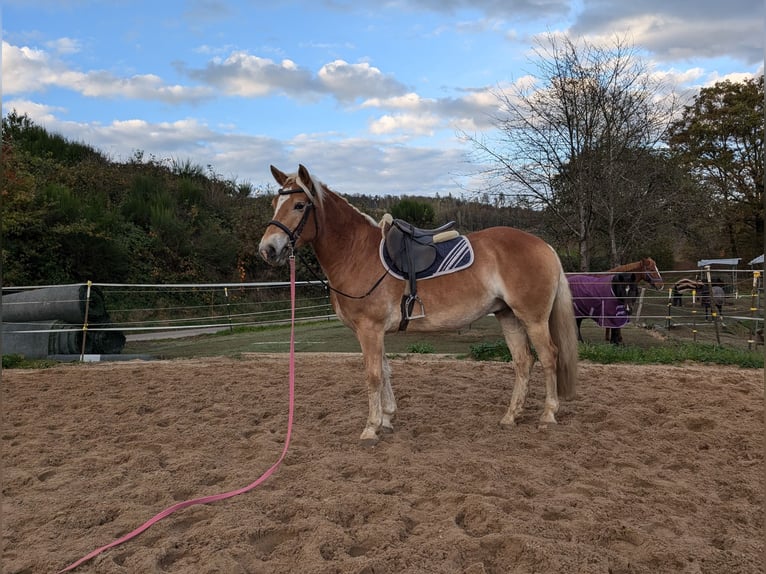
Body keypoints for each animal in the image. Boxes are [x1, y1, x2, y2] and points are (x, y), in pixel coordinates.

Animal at [260, 165, 580, 446]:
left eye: (299, 205)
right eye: (275, 203)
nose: (268, 250)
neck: (357, 254)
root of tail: (543, 245)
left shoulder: (369, 330)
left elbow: (373, 376)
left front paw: (371, 428)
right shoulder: (375, 332)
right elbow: (385, 370)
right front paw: (387, 418)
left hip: (533, 318)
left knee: (549, 357)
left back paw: (548, 414)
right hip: (508, 316)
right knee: (523, 361)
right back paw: (510, 417)